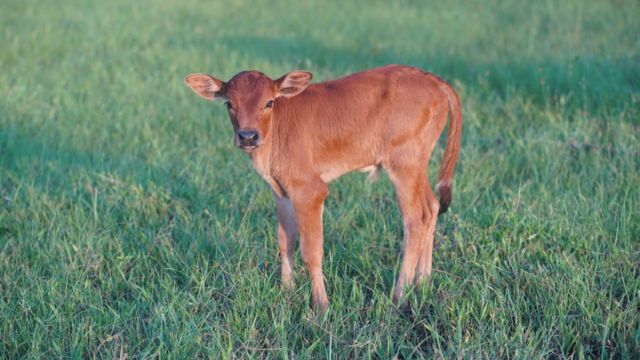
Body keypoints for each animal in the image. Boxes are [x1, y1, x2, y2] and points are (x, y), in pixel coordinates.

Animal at [184, 64, 460, 312]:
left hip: (404, 164)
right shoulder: (281, 191)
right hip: (417, 166)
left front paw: (321, 307)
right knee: (431, 208)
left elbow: (311, 251)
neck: (276, 131)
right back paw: (423, 283)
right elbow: (286, 241)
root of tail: (432, 79)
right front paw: (286, 292)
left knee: (414, 220)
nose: (248, 136)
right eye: (229, 104)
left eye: (269, 102)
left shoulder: (310, 190)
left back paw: (398, 297)